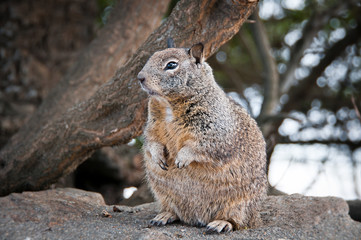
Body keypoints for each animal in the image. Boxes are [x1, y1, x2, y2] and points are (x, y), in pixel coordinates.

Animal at [136, 39, 266, 232]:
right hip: (163, 195)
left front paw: (181, 159)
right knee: (175, 212)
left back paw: (220, 224)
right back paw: (164, 216)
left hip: (239, 205)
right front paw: (158, 156)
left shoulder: (214, 132)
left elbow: (198, 147)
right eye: (151, 56)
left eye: (171, 65)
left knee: (237, 221)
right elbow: (152, 142)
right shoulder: (151, 127)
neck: (168, 104)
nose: (140, 77)